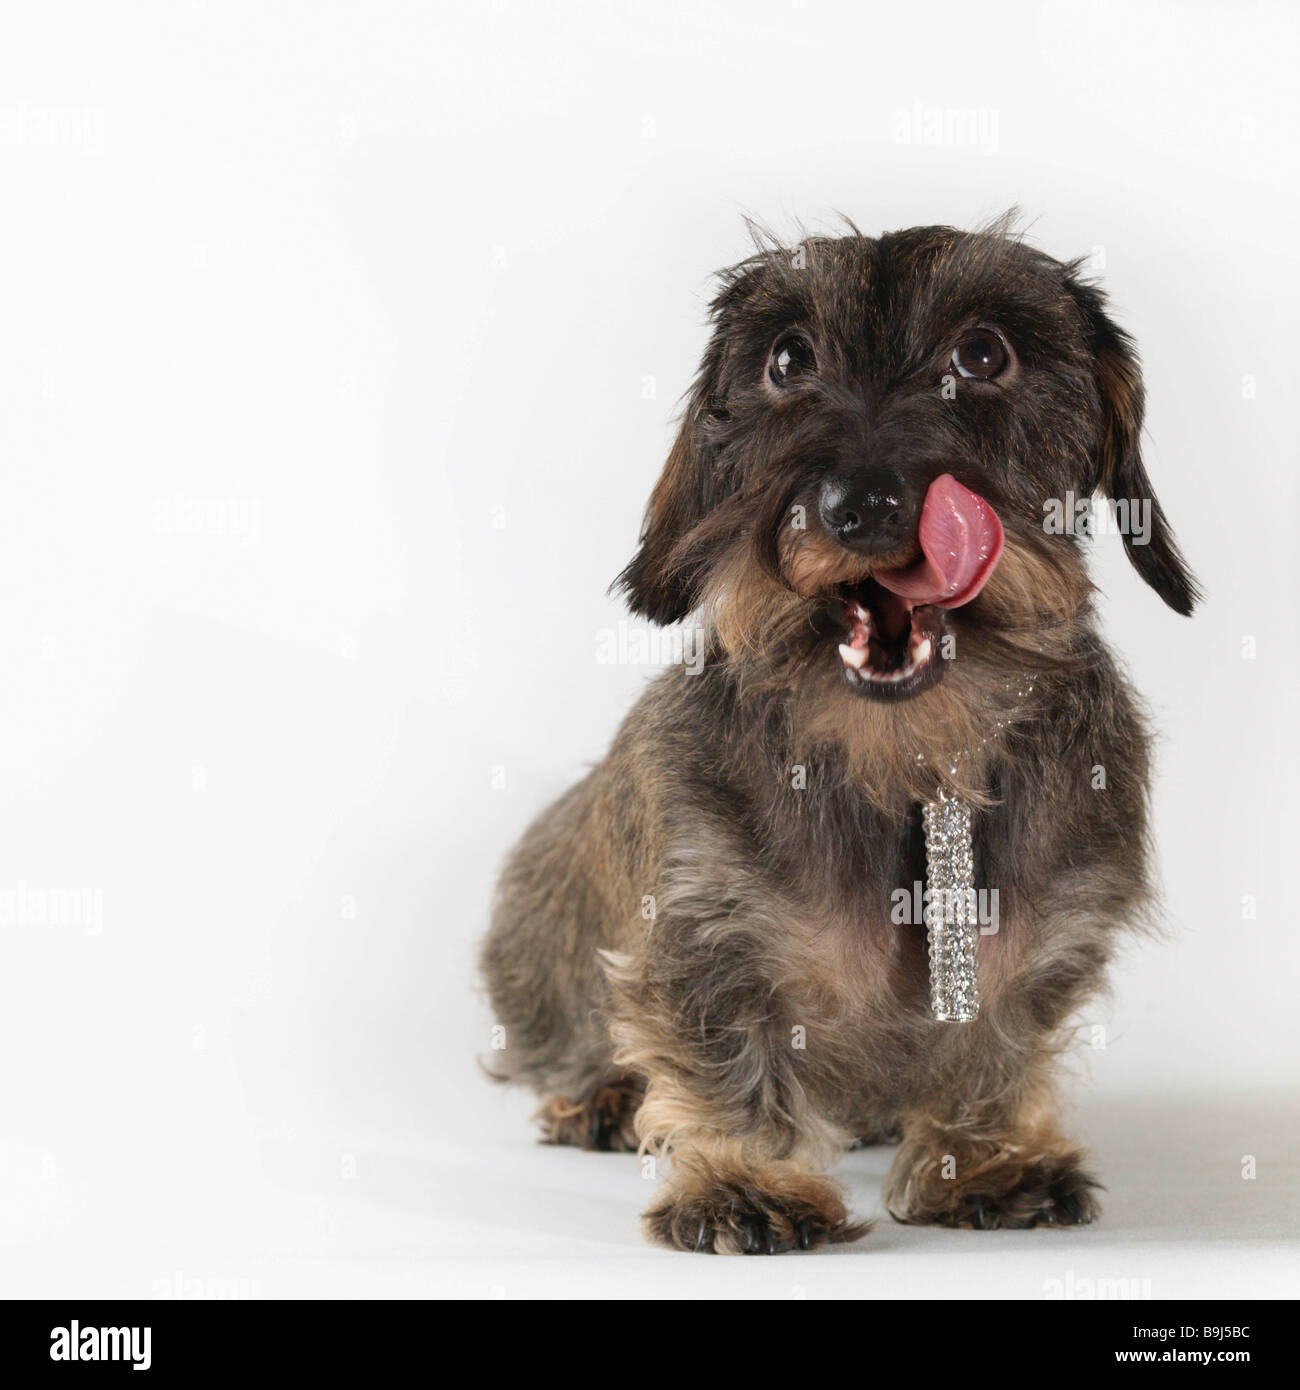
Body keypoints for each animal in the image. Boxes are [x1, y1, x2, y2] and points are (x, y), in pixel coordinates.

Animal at [481, 214, 1201, 1251]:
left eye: (984, 353)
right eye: (788, 359)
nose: (860, 505)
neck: (908, 768)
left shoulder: (1046, 938)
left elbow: (995, 1045)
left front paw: (986, 1162)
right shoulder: (708, 926)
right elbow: (727, 1056)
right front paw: (745, 1183)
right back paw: (602, 1099)